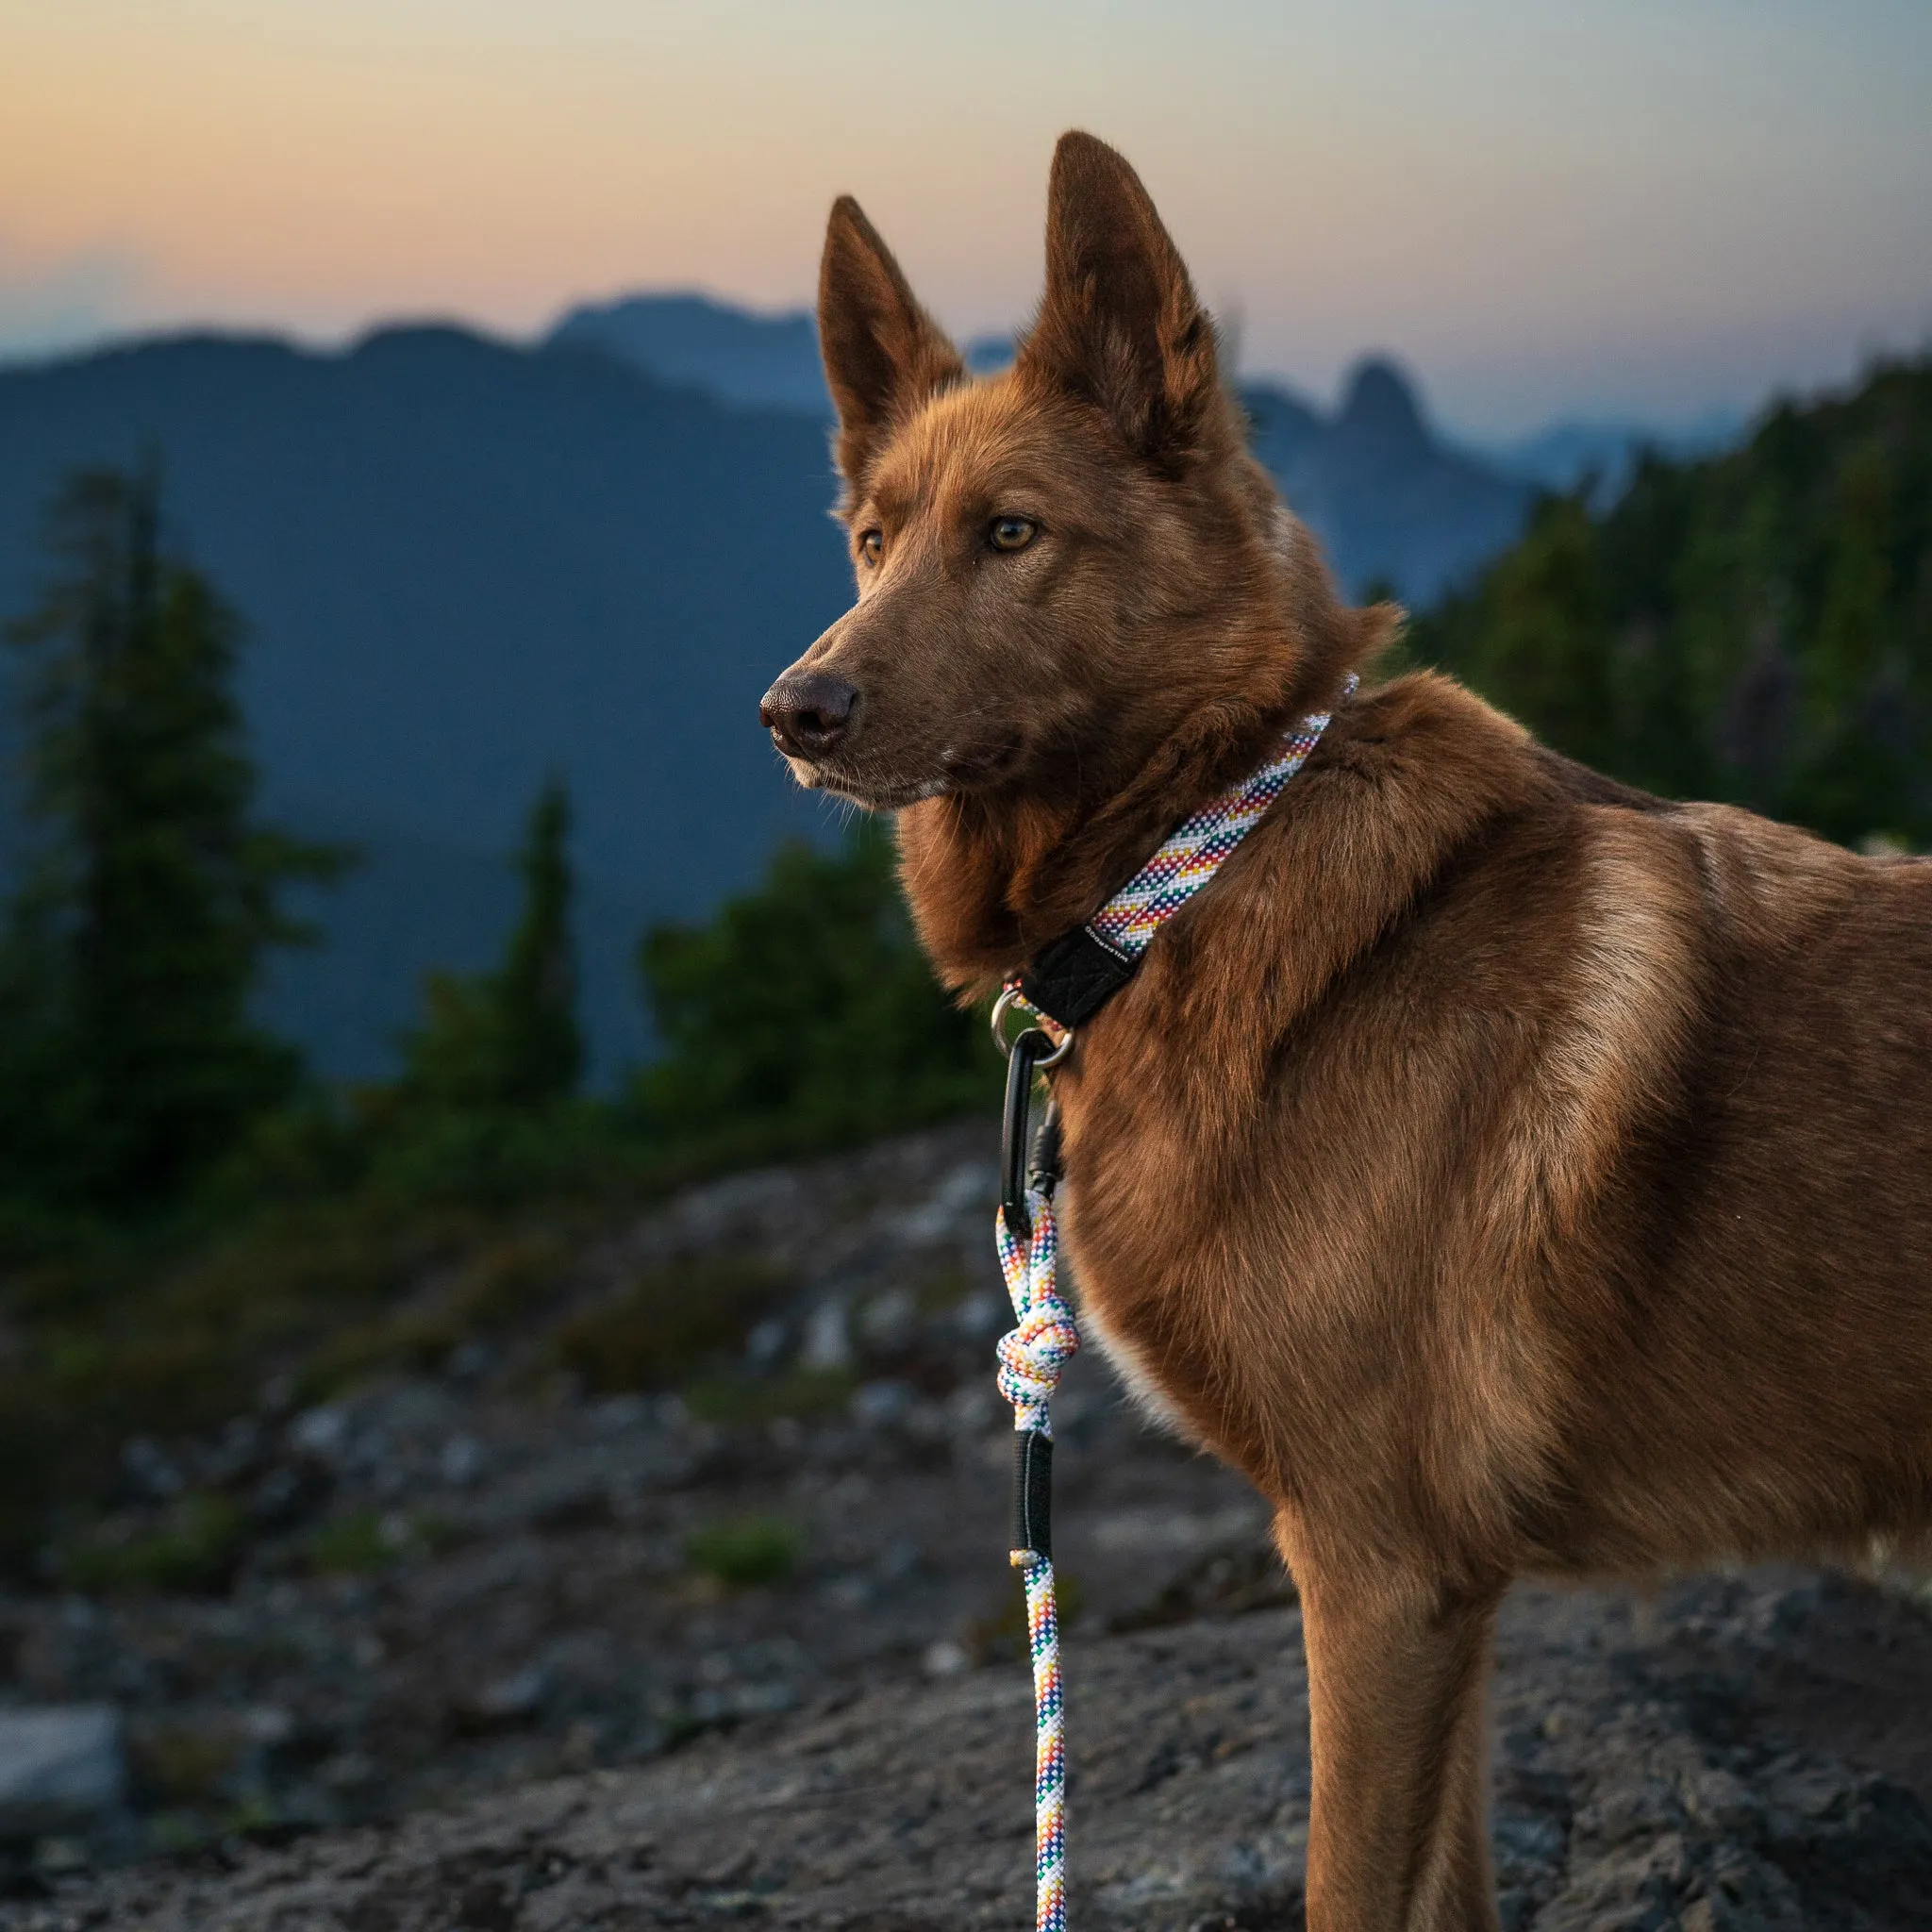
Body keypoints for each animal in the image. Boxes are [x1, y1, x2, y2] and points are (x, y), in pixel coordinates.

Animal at [760, 132, 1932, 1932]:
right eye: (874, 539)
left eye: (1012, 533)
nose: (792, 712)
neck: (1201, 854)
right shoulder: (1446, 1594)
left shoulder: (1375, 1569)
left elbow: (1345, 1886)